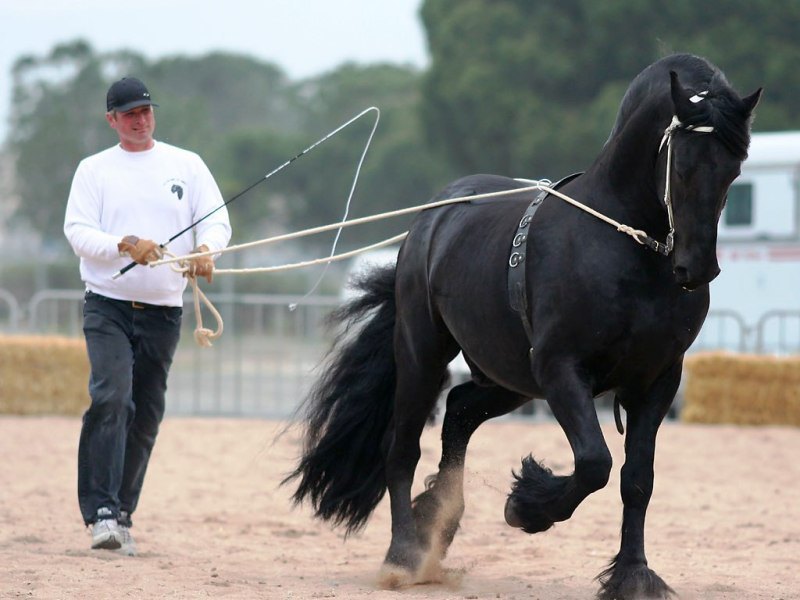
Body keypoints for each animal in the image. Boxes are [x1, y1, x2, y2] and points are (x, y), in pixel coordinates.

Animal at [284, 54, 760, 596]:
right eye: (681, 165)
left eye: (733, 170)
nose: (697, 268)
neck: (627, 246)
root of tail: (430, 219)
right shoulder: (561, 369)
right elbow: (594, 463)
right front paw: (526, 506)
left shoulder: (657, 380)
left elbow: (637, 479)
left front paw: (633, 575)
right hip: (424, 354)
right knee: (401, 448)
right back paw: (404, 556)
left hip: (508, 377)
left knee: (459, 411)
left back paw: (435, 524)